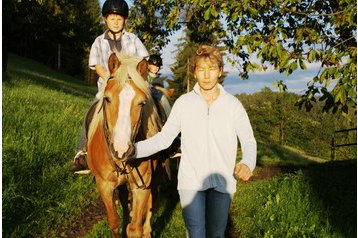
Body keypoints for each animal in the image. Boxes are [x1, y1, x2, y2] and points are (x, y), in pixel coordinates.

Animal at [86, 52, 166, 238]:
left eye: (142, 103)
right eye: (107, 98)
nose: (121, 150)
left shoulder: (142, 186)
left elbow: (135, 228)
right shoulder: (104, 185)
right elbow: (114, 222)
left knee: (152, 200)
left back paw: (147, 230)